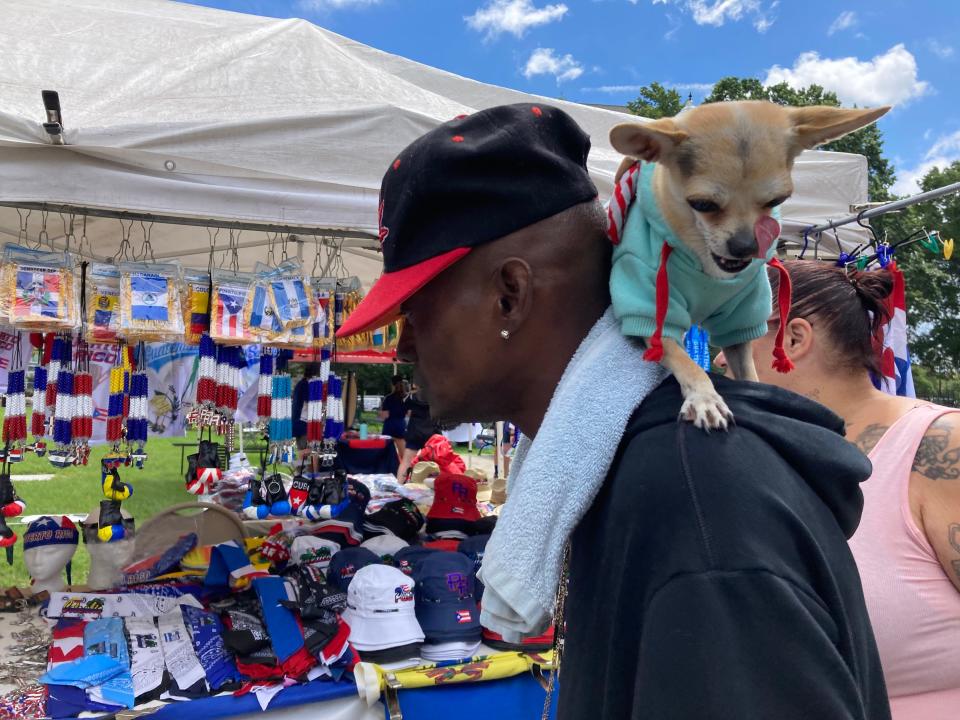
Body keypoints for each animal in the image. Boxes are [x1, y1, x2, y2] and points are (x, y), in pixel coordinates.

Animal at [612, 100, 888, 428]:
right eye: (702, 204)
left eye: (778, 200)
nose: (746, 246)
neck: (707, 266)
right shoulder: (649, 313)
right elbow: (686, 361)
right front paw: (706, 397)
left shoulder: (739, 324)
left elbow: (747, 372)